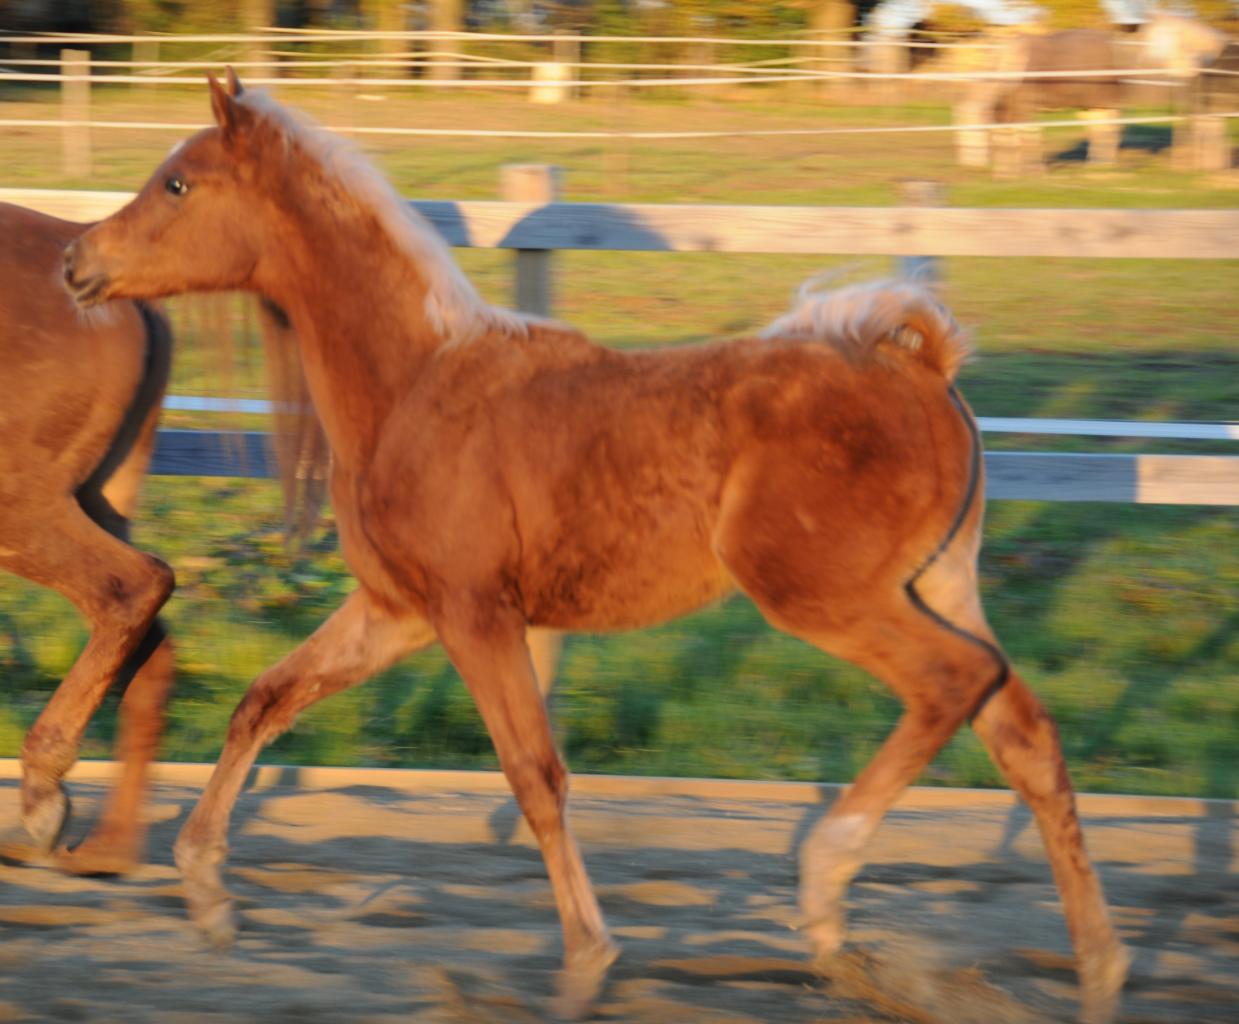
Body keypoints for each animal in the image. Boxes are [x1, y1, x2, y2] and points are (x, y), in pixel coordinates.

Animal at [0, 199, 175, 867]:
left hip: (23, 508)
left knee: (136, 588)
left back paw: (44, 795)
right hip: (95, 502)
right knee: (152, 642)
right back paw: (109, 850)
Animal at [65, 73, 1134, 1021]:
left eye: (177, 183)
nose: (76, 261)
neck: (416, 383)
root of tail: (923, 367)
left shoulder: (475, 615)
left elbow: (535, 776)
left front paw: (587, 963)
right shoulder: (398, 613)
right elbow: (265, 700)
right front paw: (205, 894)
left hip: (824, 596)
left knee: (952, 685)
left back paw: (826, 894)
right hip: (940, 584)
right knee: (1022, 731)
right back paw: (1096, 971)